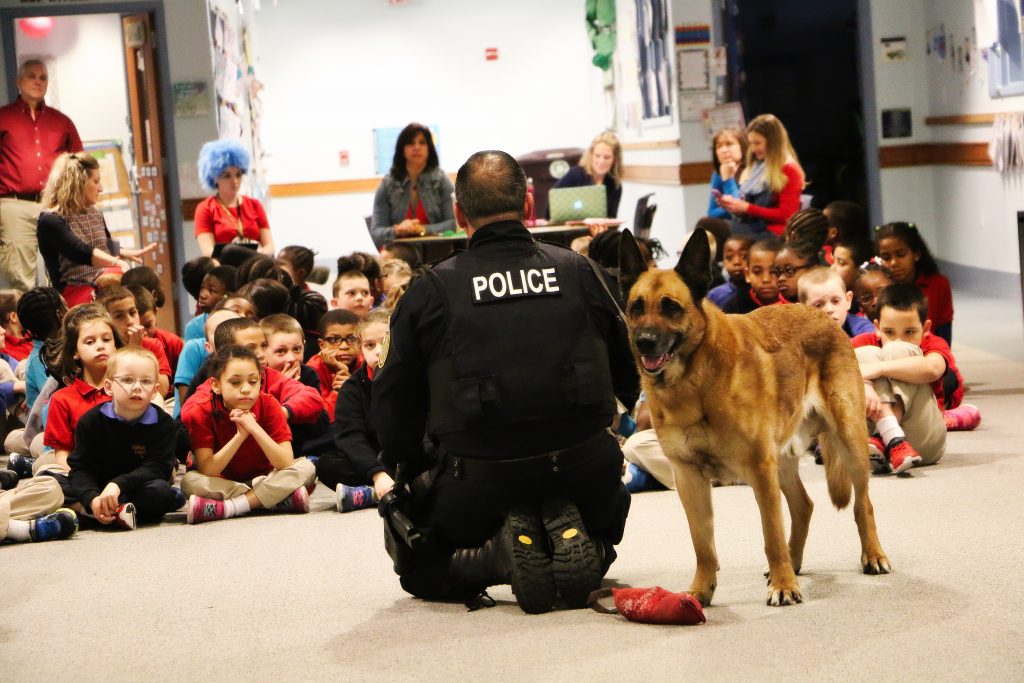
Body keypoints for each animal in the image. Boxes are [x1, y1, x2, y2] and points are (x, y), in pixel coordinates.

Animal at [614, 231, 888, 610]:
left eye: (671, 306)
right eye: (637, 307)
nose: (644, 342)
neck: (694, 381)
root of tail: (823, 316)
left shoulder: (759, 470)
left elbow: (771, 533)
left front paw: (784, 586)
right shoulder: (688, 478)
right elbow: (703, 544)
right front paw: (701, 591)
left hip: (849, 442)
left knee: (864, 504)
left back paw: (870, 555)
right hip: (783, 460)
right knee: (803, 506)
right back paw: (794, 561)